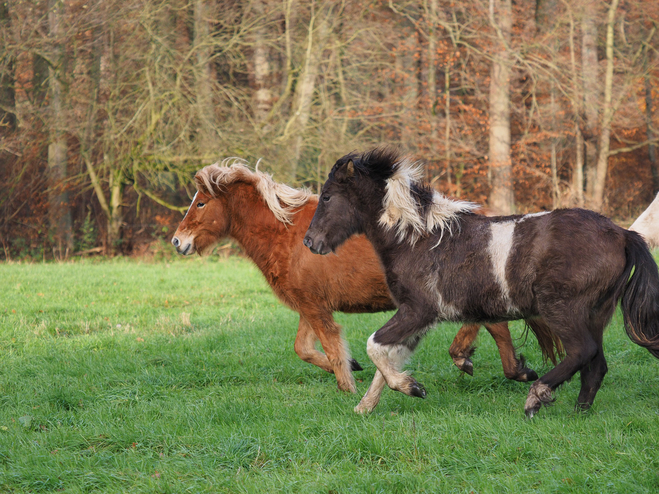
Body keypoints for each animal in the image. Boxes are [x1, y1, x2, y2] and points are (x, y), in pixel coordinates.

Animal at [171, 160, 564, 392]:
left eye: (201, 202)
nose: (178, 241)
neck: (289, 236)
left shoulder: (316, 309)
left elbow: (330, 350)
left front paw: (352, 386)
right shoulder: (310, 306)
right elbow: (305, 349)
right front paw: (355, 367)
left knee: (491, 324)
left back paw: (474, 359)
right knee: (493, 324)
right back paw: (498, 365)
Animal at [302, 148, 659, 416]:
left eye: (328, 197)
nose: (309, 242)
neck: (416, 238)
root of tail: (622, 233)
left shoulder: (418, 311)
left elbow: (374, 346)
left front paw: (411, 388)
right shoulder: (418, 318)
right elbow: (388, 356)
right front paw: (366, 407)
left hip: (562, 309)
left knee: (582, 351)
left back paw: (536, 396)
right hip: (595, 314)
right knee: (596, 365)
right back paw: (578, 411)